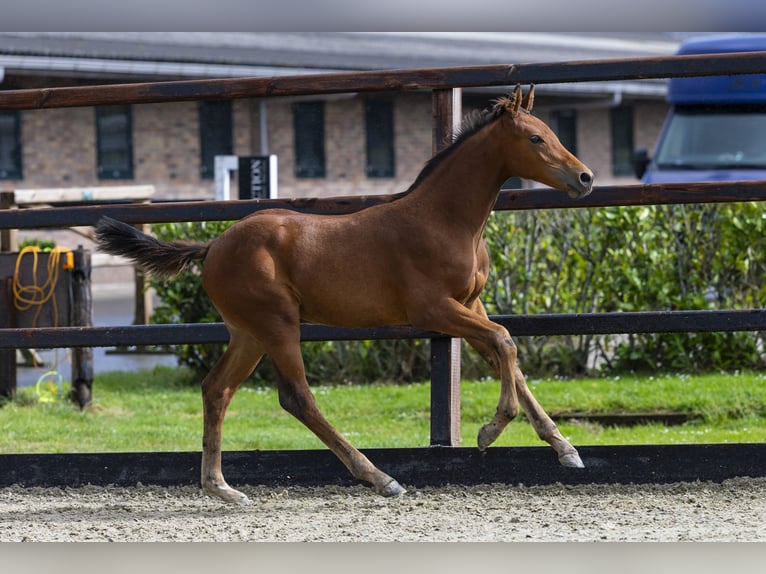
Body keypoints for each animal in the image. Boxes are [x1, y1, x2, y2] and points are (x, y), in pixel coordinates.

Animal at [95, 85, 594, 505]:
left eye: (552, 132)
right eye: (535, 138)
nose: (585, 178)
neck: (445, 219)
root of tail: (213, 245)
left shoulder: (470, 304)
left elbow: (507, 355)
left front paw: (565, 447)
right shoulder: (432, 309)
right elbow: (506, 341)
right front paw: (492, 429)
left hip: (248, 332)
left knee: (217, 389)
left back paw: (222, 487)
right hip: (277, 324)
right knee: (297, 397)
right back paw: (380, 477)